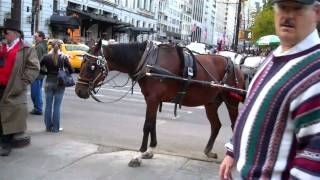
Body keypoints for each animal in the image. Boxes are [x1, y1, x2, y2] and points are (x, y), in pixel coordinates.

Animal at [75, 40, 245, 167]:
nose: (78, 91)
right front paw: (150, 150)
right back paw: (209, 150)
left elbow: (147, 125)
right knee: (216, 125)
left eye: (91, 67)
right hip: (211, 103)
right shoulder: (152, 99)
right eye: (82, 63)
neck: (148, 63)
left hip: (232, 102)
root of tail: (236, 66)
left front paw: (139, 154)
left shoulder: (153, 99)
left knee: (235, 124)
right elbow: (153, 123)